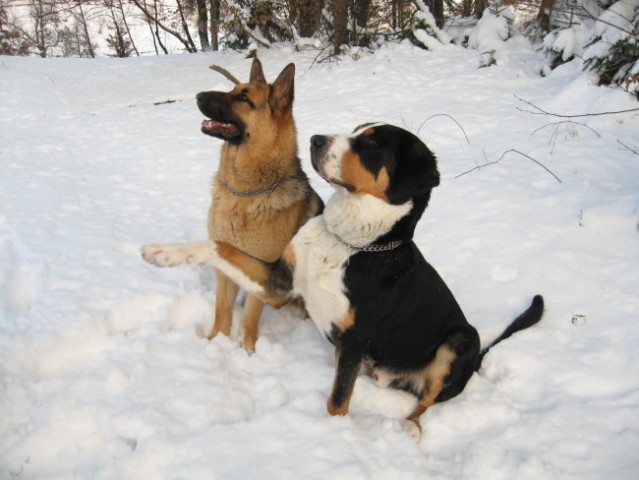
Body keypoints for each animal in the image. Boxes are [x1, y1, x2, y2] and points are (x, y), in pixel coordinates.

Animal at [141, 123, 544, 438]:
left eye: (371, 143)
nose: (315, 139)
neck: (347, 243)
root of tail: (478, 357)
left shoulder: (354, 338)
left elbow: (336, 403)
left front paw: (334, 437)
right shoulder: (281, 283)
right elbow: (221, 247)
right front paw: (162, 253)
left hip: (461, 338)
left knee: (426, 401)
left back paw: (410, 428)